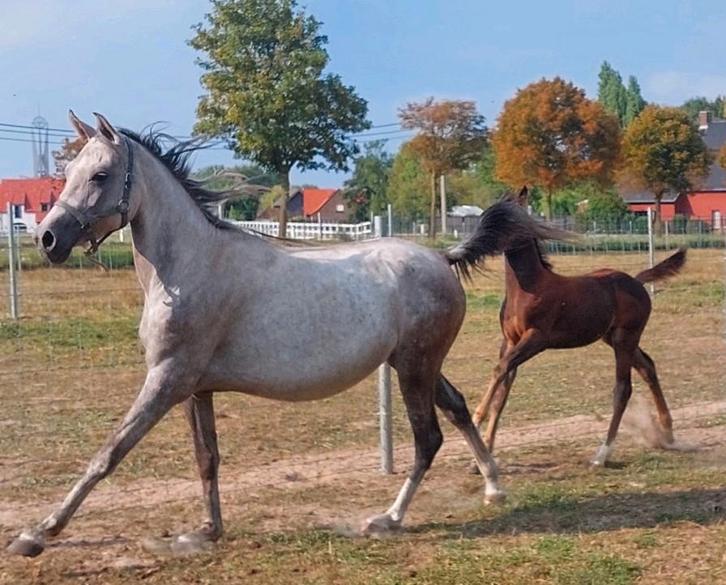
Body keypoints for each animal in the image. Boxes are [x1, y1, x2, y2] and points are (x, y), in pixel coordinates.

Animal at [8, 112, 505, 558]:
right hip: (415, 365)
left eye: (100, 175)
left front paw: (37, 534)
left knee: (427, 439)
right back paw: (493, 487)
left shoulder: (167, 380)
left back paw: (388, 519)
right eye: (67, 174)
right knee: (459, 409)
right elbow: (206, 458)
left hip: (415, 369)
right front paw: (207, 531)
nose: (48, 239)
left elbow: (108, 453)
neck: (188, 268)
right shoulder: (195, 389)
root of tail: (441, 258)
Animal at [446, 188, 685, 467]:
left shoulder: (536, 339)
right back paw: (667, 431)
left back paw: (602, 454)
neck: (528, 288)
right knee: (648, 367)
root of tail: (637, 281)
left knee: (623, 388)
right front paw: (481, 458)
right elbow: (502, 392)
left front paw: (476, 418)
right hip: (615, 338)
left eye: (509, 222)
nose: (463, 251)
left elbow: (500, 370)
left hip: (624, 339)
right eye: (488, 216)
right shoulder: (510, 341)